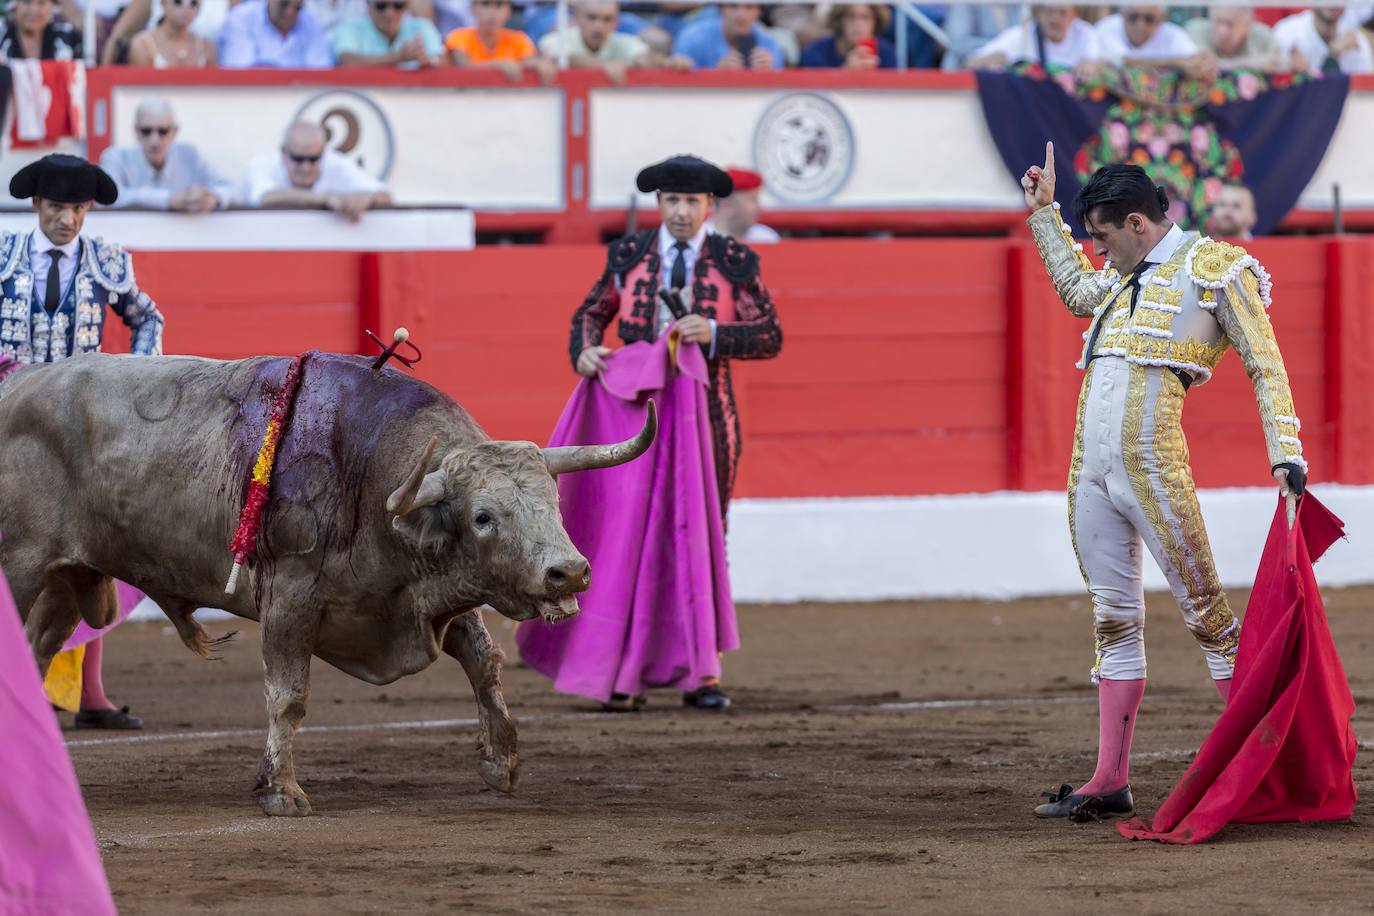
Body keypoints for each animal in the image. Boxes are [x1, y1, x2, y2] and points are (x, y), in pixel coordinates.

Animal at [0, 351, 654, 818]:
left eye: (555, 501)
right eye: (483, 517)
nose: (568, 571)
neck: (368, 475)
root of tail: (15, 382)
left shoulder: (434, 593)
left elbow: (484, 661)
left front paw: (503, 763)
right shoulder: (290, 598)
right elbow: (288, 696)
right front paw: (280, 793)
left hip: (64, 578)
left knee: (36, 653)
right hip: (20, 566)